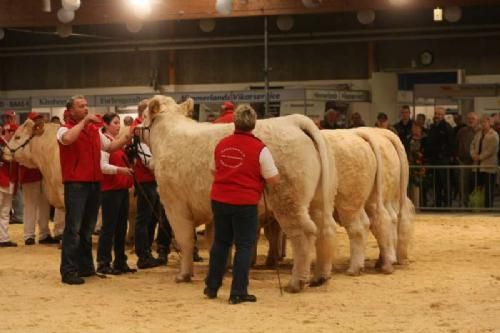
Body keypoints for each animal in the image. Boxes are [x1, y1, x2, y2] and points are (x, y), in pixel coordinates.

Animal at [141, 95, 336, 290]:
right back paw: (320, 277)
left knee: (305, 233)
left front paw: (184, 274)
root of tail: (293, 120)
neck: (168, 136)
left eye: (143, 116)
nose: (136, 128)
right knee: (325, 229)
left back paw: (296, 282)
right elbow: (215, 242)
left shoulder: (175, 206)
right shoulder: (213, 211)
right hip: (318, 200)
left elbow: (186, 240)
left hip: (288, 199)